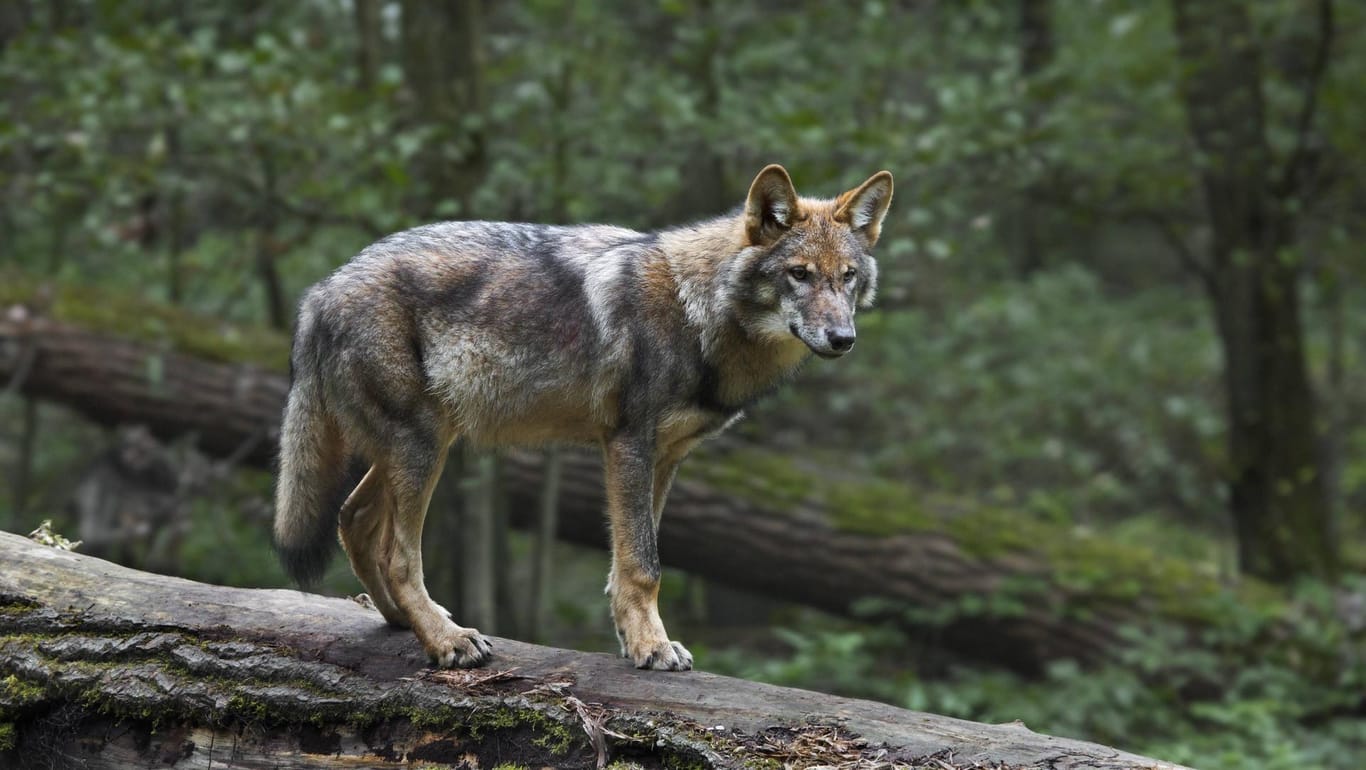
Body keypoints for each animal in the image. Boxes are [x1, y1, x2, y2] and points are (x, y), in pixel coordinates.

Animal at [277, 165, 896, 671]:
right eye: (799, 274)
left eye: (846, 276)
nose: (843, 338)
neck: (697, 310)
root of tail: (318, 293)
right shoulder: (629, 444)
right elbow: (645, 564)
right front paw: (652, 648)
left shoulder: (664, 458)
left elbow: (627, 564)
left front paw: (636, 641)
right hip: (423, 446)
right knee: (397, 556)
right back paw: (447, 640)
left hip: (426, 443)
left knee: (353, 519)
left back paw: (409, 624)